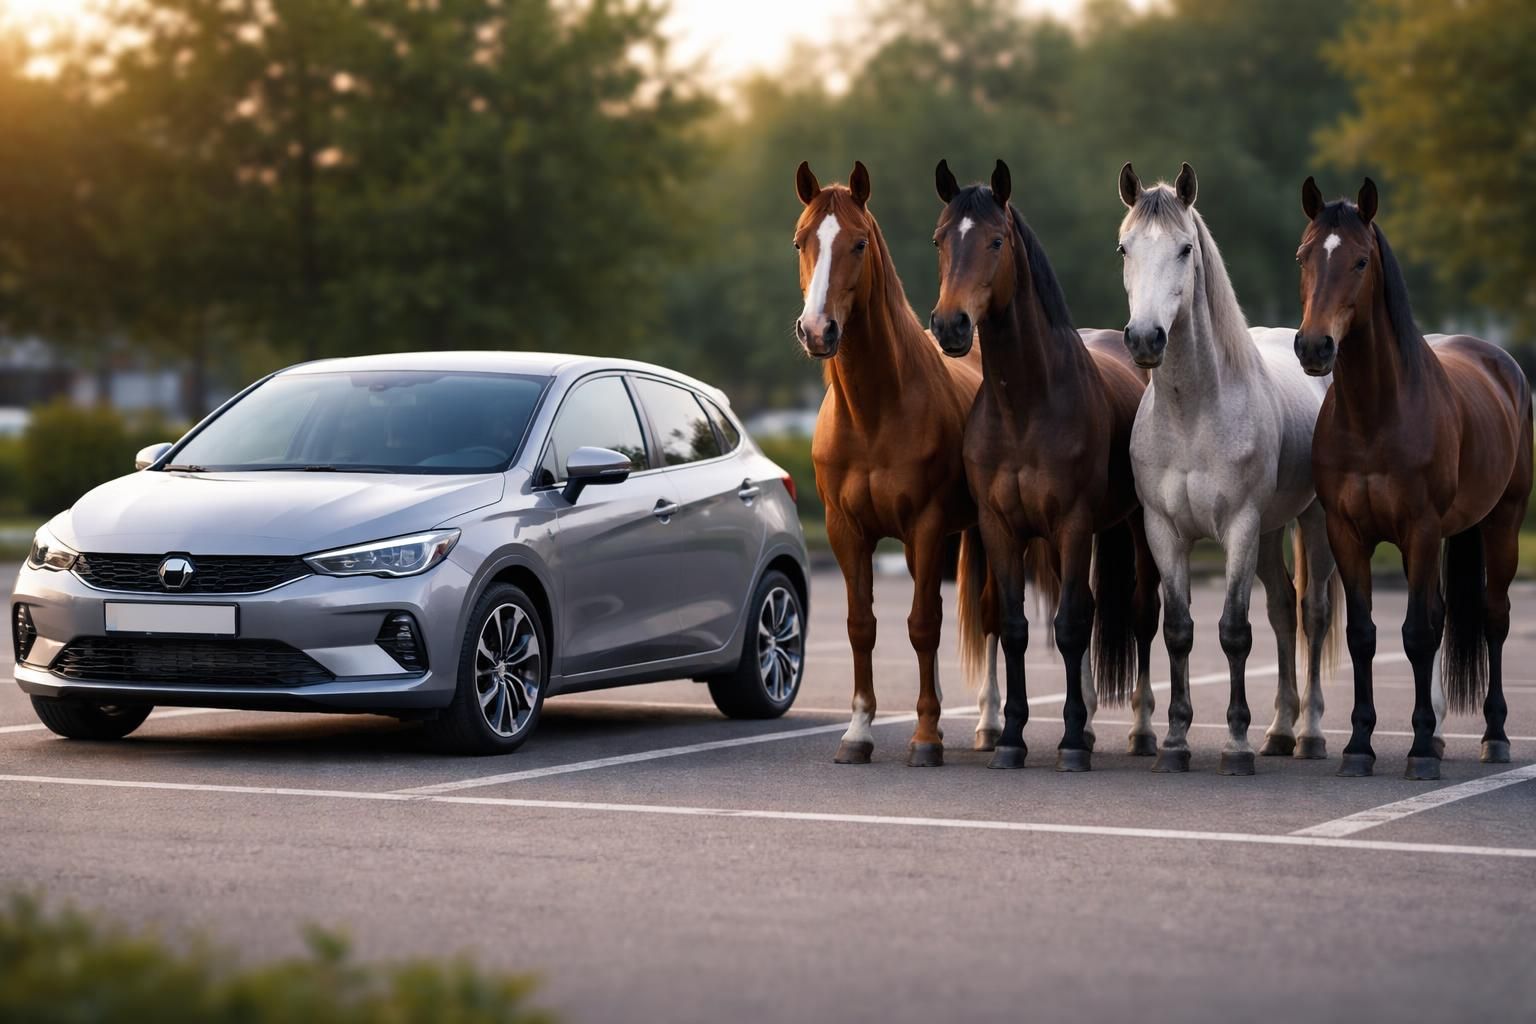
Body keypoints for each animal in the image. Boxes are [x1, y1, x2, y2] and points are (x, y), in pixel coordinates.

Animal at [792, 160, 1003, 766]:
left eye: (859, 243)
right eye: (800, 241)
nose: (817, 330)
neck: (874, 413)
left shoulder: (926, 526)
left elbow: (923, 625)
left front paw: (927, 737)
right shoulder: (846, 530)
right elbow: (863, 625)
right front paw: (859, 731)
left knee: (989, 616)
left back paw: (988, 723)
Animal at [930, 159, 1161, 771]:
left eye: (995, 240)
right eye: (940, 239)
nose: (950, 325)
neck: (1027, 406)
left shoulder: (1073, 525)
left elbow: (1072, 627)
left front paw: (1071, 742)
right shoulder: (1000, 528)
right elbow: (1015, 627)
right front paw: (1011, 737)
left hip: (1140, 528)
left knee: (1143, 615)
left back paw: (1143, 732)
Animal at [1116, 162, 1341, 775]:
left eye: (1185, 248)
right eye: (1124, 247)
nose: (1144, 338)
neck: (1193, 413)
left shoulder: (1238, 527)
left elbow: (1235, 632)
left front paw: (1236, 744)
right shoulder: (1164, 531)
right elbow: (1179, 631)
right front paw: (1174, 742)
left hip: (1311, 524)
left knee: (1311, 613)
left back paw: (1310, 733)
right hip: (1268, 534)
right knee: (1283, 610)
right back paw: (1280, 731)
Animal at [1295, 176, 1532, 780]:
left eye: (1360, 260)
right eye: (1304, 256)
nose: (1313, 346)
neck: (1375, 416)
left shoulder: (1420, 531)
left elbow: (1418, 635)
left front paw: (1421, 749)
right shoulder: (1347, 534)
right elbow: (1363, 635)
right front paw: (1359, 745)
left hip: (1503, 523)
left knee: (1494, 618)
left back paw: (1494, 736)